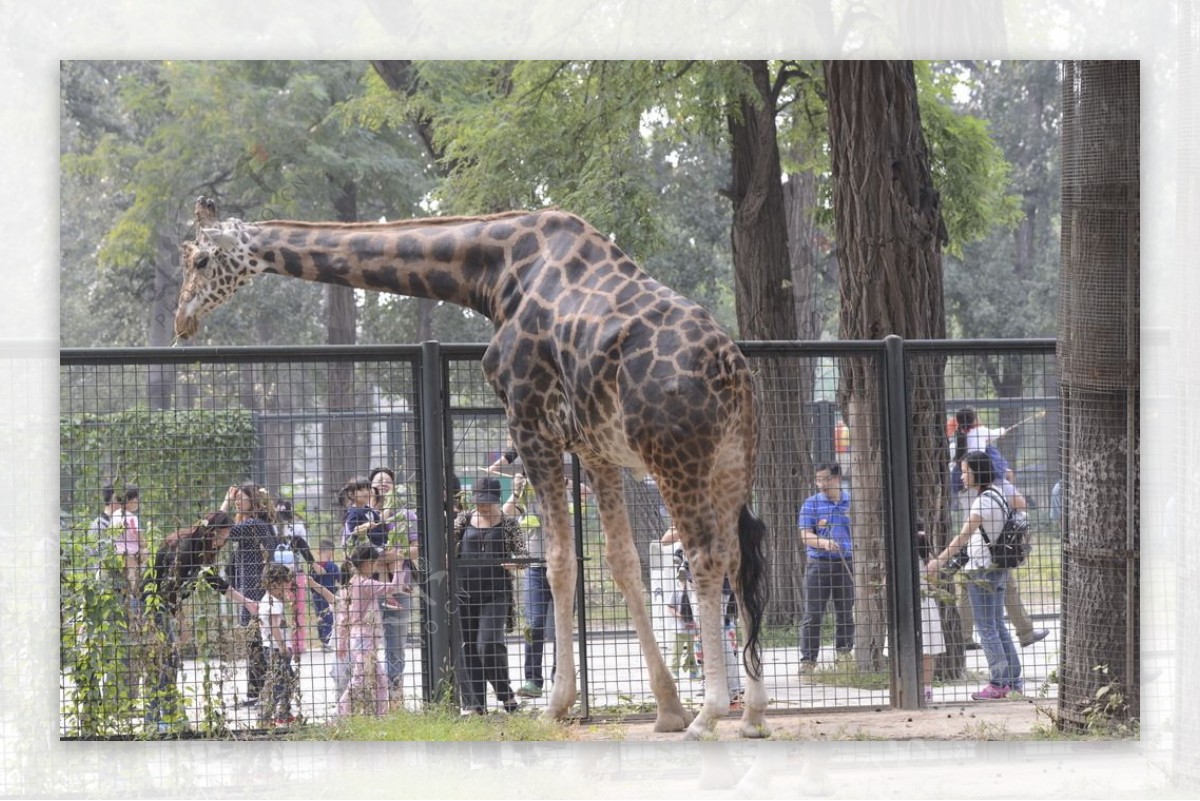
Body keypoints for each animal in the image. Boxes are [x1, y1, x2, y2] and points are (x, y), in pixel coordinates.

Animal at [174, 196, 772, 743]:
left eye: (201, 260)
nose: (182, 320)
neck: (494, 272)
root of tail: (732, 368)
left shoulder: (530, 422)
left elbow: (559, 561)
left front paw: (559, 706)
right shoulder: (596, 449)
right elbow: (623, 564)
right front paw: (667, 709)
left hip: (676, 458)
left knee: (705, 558)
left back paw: (711, 714)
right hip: (733, 461)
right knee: (740, 558)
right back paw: (752, 715)